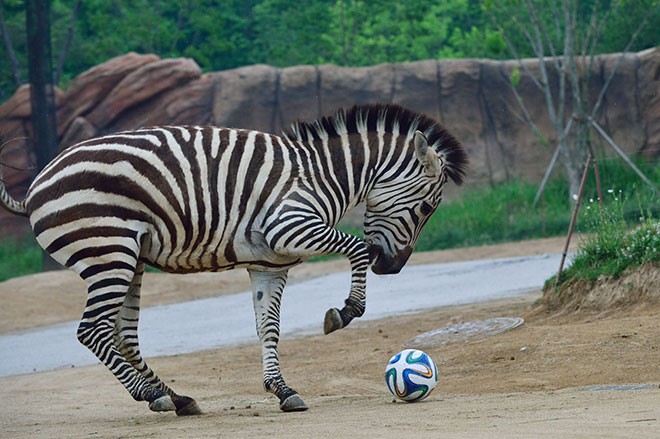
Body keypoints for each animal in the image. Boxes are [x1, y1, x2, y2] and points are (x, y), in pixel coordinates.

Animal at [0, 103, 466, 416]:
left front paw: (282, 390)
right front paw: (345, 312)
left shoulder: (269, 264)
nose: (394, 268)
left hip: (129, 260)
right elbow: (357, 248)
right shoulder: (289, 226)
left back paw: (175, 396)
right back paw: (151, 394)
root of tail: (37, 183)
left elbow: (268, 328)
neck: (323, 177)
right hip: (107, 252)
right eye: (427, 208)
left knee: (124, 334)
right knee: (92, 329)